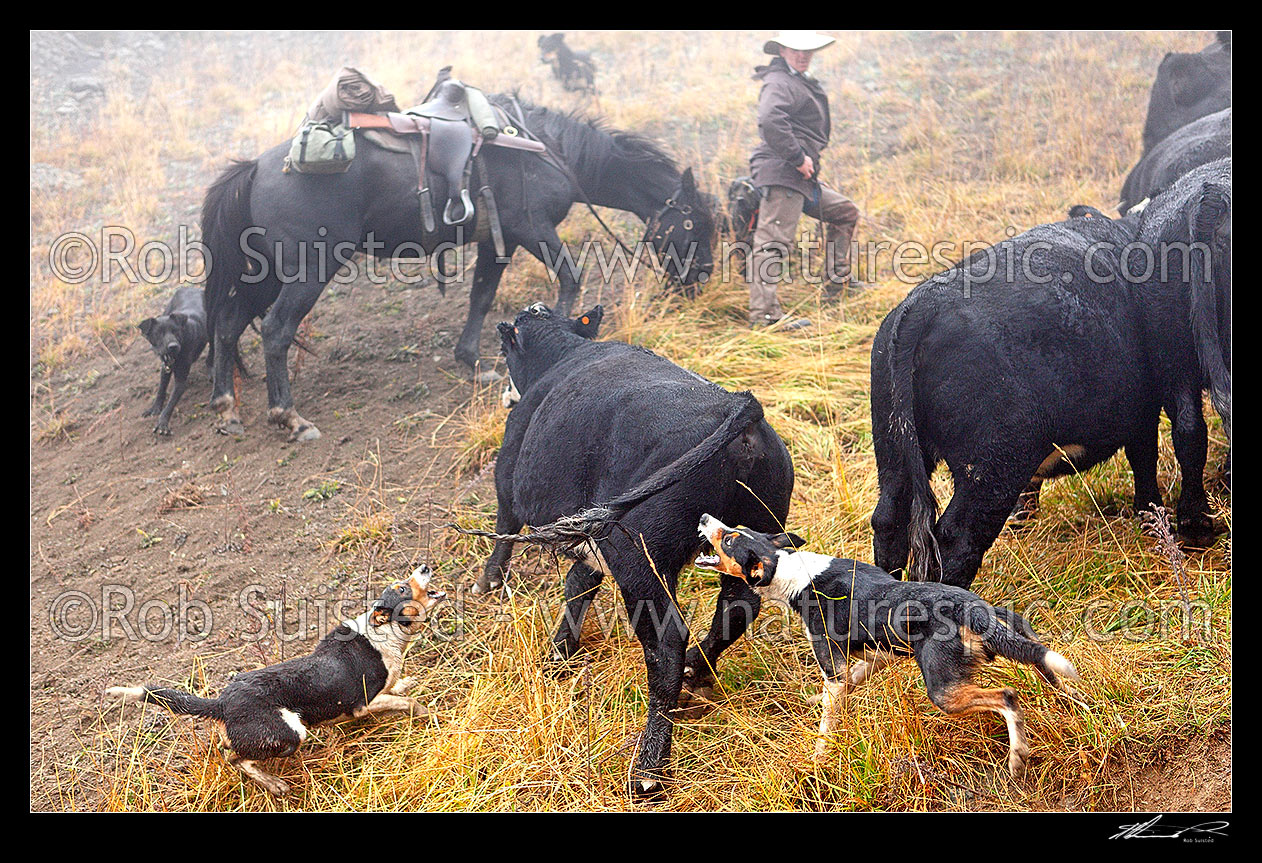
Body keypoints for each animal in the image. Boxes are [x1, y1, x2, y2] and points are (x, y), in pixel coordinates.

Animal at [106, 565, 446, 797]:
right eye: (401, 588)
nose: (424, 567)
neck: (386, 633)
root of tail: (222, 702)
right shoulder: (363, 704)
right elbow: (409, 703)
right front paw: (430, 716)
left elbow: (400, 688)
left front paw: (406, 683)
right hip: (291, 733)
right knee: (235, 758)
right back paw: (275, 784)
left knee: (229, 747)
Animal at [196, 98, 711, 441]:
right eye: (697, 223)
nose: (701, 281)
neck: (545, 148)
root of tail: (256, 167)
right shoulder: (531, 228)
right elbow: (570, 278)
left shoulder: (499, 240)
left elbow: (481, 296)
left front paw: (473, 361)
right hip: (307, 271)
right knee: (276, 331)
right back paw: (289, 416)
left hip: (264, 273)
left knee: (227, 323)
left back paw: (226, 408)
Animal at [474, 301, 787, 797]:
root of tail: (738, 407)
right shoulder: (589, 539)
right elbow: (579, 585)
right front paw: (560, 654)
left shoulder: (509, 480)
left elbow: (506, 527)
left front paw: (489, 581)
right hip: (750, 537)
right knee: (738, 607)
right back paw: (698, 672)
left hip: (638, 557)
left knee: (667, 643)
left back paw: (649, 766)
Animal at [696, 514, 1080, 777]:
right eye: (734, 528)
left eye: (728, 539)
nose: (704, 518)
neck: (789, 571)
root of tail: (968, 605)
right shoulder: (877, 655)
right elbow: (852, 680)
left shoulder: (833, 667)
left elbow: (827, 724)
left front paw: (819, 759)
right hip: (1022, 643)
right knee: (1048, 674)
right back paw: (1076, 703)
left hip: (943, 691)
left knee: (1008, 697)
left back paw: (1017, 757)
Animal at [873, 158, 1226, 585]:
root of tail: (925, 304)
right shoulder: (1141, 411)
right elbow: (1145, 458)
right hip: (993, 466)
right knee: (956, 538)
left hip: (894, 454)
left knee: (888, 521)